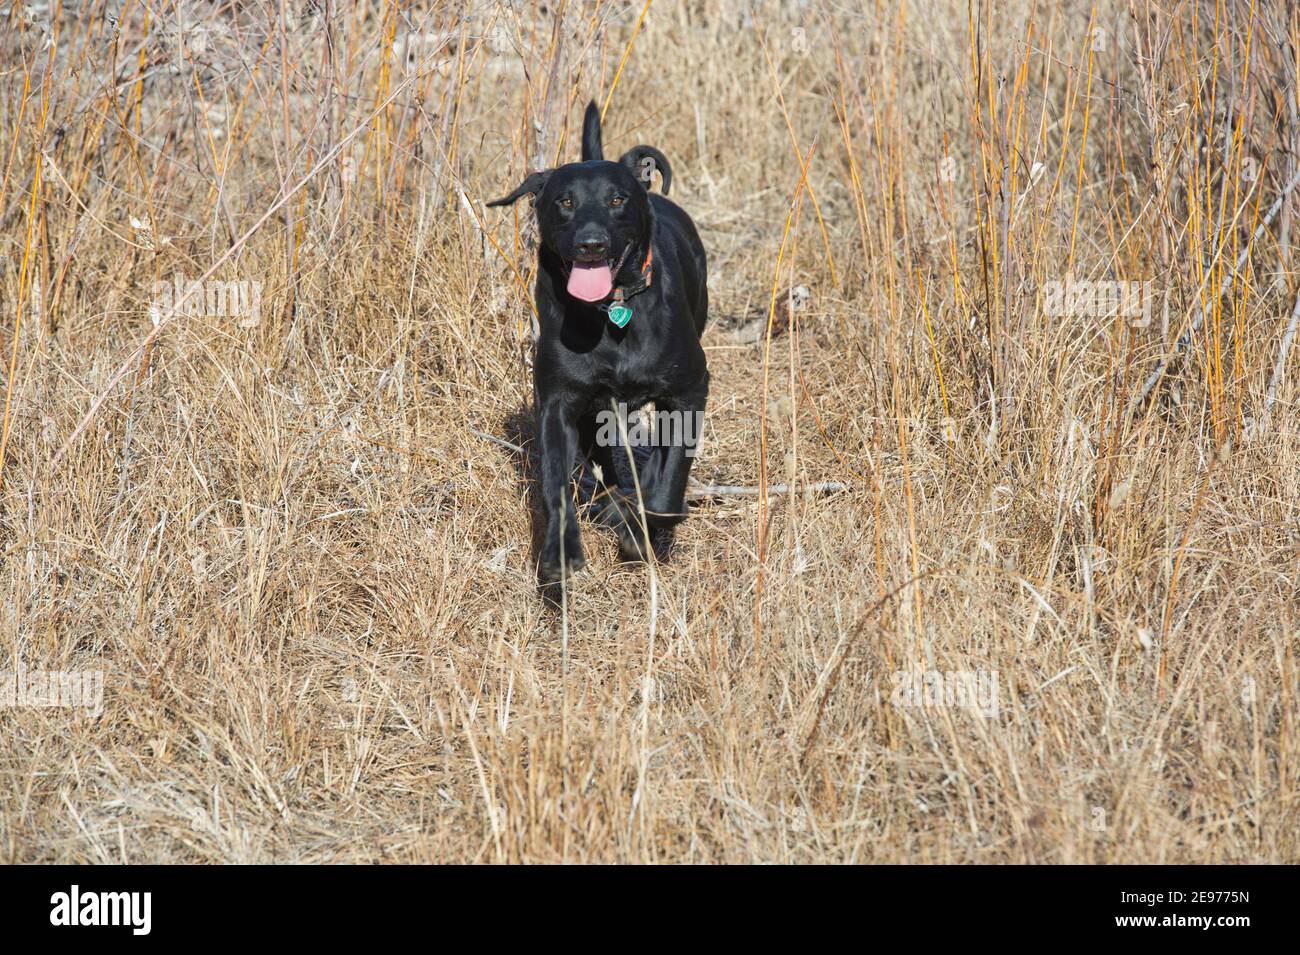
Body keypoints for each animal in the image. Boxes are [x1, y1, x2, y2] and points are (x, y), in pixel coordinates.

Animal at [488, 100, 712, 587]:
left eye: (617, 200)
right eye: (565, 201)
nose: (591, 244)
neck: (610, 314)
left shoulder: (689, 392)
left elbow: (669, 479)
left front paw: (644, 534)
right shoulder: (558, 402)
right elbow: (557, 482)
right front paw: (562, 550)